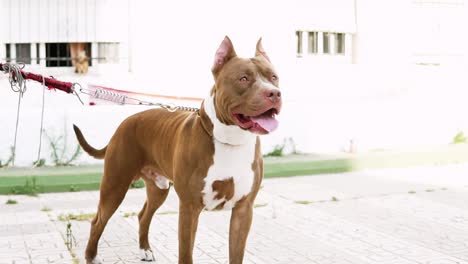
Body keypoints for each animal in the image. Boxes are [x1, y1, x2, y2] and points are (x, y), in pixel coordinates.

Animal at [73, 36, 282, 262]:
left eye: (274, 77)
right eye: (243, 78)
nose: (274, 93)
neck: (230, 141)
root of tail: (126, 122)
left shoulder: (243, 210)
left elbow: (236, 255)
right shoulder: (189, 207)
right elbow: (185, 253)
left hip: (158, 188)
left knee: (143, 215)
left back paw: (145, 249)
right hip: (115, 185)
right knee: (98, 220)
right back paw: (91, 256)